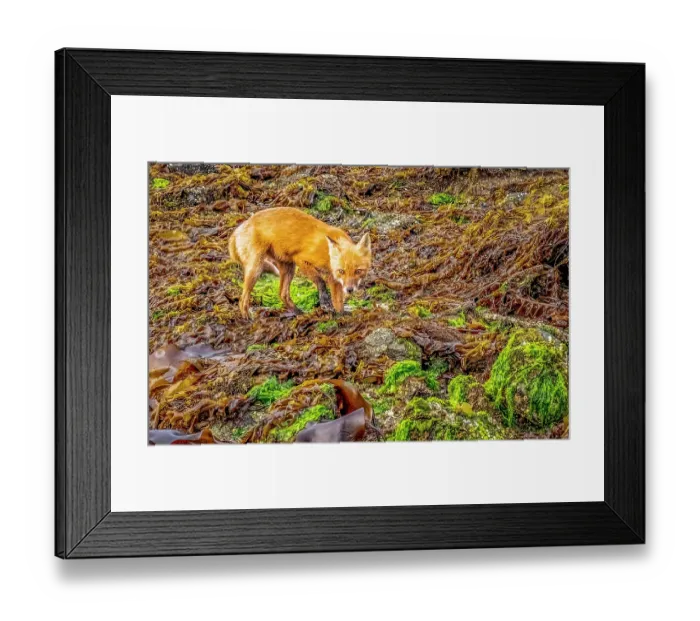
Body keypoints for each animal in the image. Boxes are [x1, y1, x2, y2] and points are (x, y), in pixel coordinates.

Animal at [228, 207, 372, 318]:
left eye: (358, 271)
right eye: (342, 271)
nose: (349, 289)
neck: (327, 254)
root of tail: (237, 230)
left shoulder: (334, 279)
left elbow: (338, 301)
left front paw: (340, 314)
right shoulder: (301, 259)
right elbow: (320, 281)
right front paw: (325, 302)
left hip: (288, 268)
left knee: (282, 294)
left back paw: (299, 313)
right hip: (256, 269)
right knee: (242, 300)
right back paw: (248, 318)